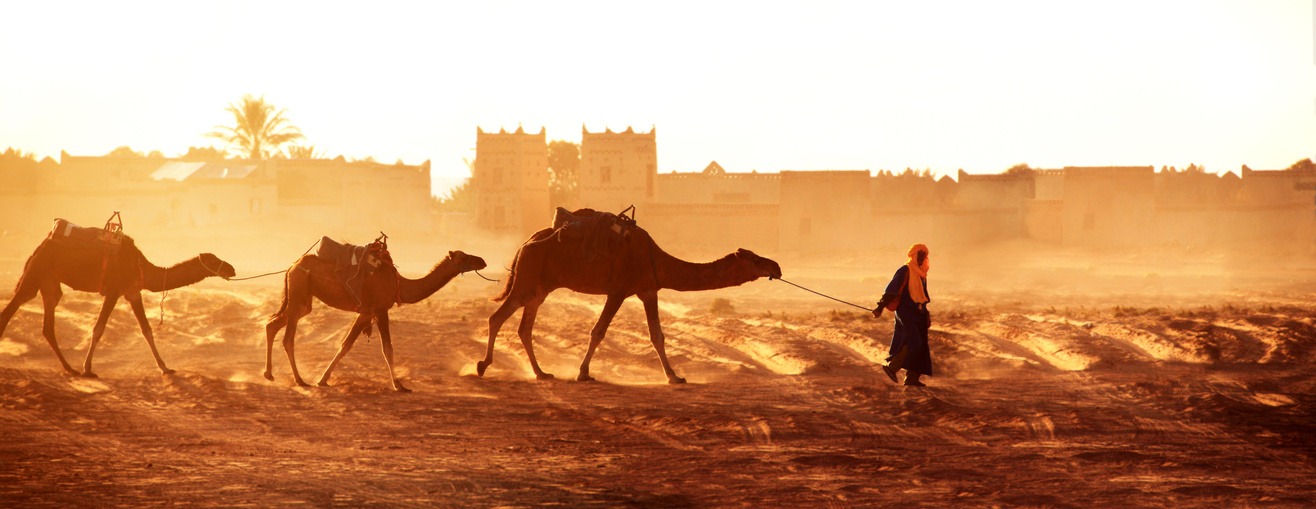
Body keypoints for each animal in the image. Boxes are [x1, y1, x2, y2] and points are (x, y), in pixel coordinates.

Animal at [0, 228, 234, 376]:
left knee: (48, 324)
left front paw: (165, 368)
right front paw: (87, 369)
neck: (142, 267)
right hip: (36, 273)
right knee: (12, 308)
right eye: (213, 260)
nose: (231, 268)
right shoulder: (114, 291)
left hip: (49, 281)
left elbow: (147, 329)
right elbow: (98, 328)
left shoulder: (132, 292)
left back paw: (69, 369)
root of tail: (39, 247)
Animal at [265, 248, 489, 391]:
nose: (483, 261)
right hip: (299, 292)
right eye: (464, 257)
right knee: (288, 338)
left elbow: (346, 345)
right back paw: (299, 380)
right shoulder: (381, 310)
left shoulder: (366, 312)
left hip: (303, 300)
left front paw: (323, 379)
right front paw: (399, 385)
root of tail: (292, 266)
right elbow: (387, 348)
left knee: (272, 325)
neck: (400, 285)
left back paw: (269, 374)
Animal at [476, 209, 773, 384]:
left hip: (540, 288)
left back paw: (541, 373)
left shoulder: (648, 289)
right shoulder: (619, 290)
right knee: (497, 318)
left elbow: (657, 335)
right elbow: (598, 331)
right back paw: (482, 365)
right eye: (755, 260)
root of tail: (525, 243)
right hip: (527, 280)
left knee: (524, 327)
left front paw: (674, 376)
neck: (656, 259)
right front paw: (583, 373)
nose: (776, 267)